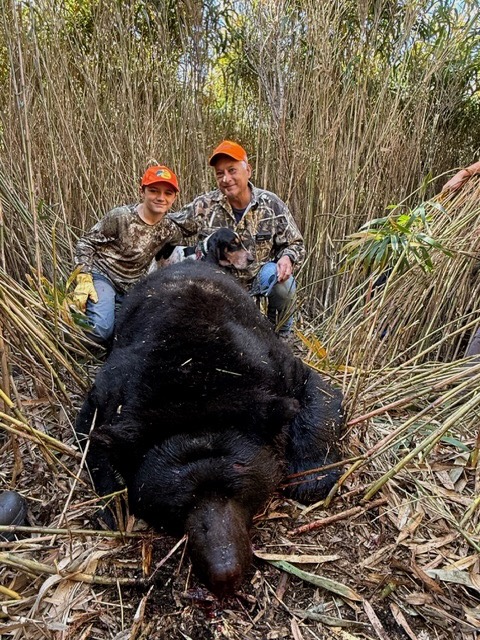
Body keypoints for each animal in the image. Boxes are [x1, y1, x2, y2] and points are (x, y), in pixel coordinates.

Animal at [76, 258, 342, 596]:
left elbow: (317, 390)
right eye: (177, 504)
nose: (224, 572)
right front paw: (114, 505)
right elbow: (93, 431)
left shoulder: (277, 369)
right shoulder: (113, 391)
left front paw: (313, 478)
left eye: (239, 488)